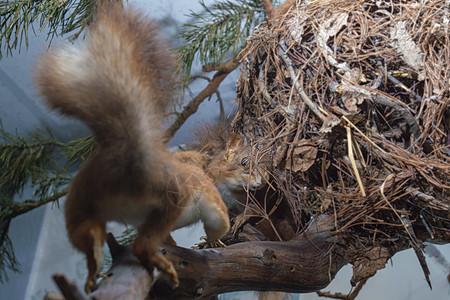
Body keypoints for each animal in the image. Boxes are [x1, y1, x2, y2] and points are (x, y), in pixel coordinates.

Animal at [33, 2, 230, 292]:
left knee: (90, 238)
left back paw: (93, 274)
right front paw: (214, 241)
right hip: (170, 199)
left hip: (80, 206)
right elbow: (218, 221)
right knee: (141, 245)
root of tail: (125, 165)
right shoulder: (209, 198)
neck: (187, 163)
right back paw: (158, 262)